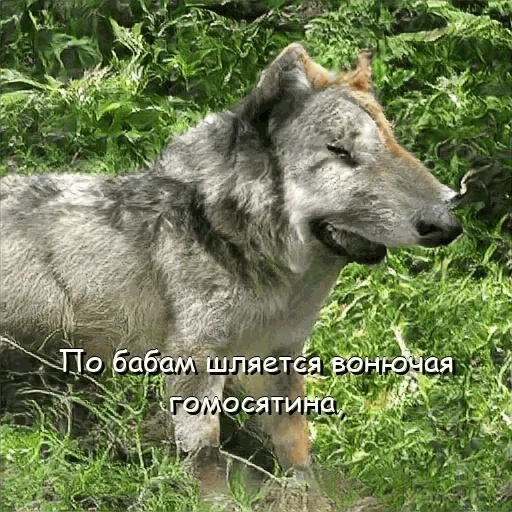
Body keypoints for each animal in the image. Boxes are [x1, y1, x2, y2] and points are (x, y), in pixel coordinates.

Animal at [0, 43, 462, 484]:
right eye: (339, 150)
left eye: (393, 144)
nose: (449, 221)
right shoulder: (195, 363)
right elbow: (207, 460)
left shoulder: (280, 358)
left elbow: (297, 450)